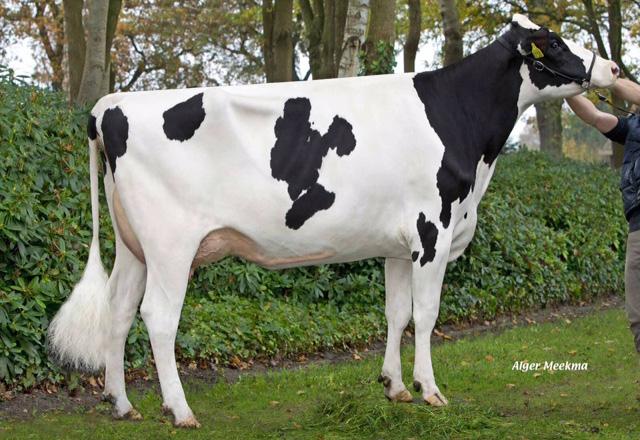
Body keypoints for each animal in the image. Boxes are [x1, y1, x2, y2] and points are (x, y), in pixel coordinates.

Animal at [48, 14, 619, 427]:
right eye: (554, 43)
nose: (612, 69)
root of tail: (109, 105)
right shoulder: (433, 232)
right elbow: (427, 314)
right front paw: (430, 391)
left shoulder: (400, 245)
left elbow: (397, 314)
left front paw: (394, 387)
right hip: (171, 245)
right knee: (158, 317)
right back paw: (180, 410)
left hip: (134, 245)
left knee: (120, 310)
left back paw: (123, 403)